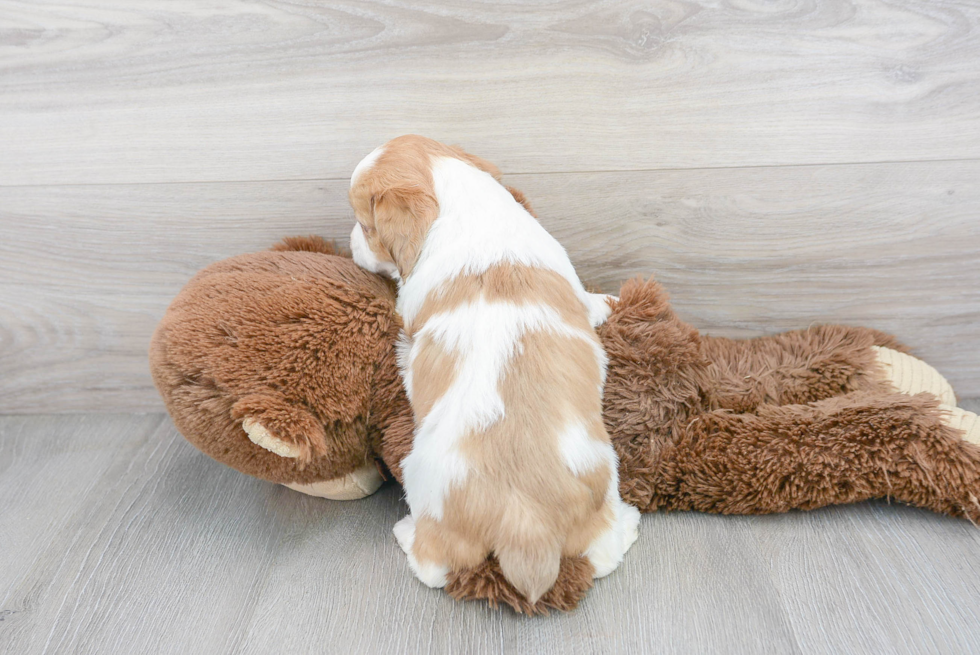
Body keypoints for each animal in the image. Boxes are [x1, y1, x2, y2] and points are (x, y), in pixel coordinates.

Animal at [348, 136, 640, 604]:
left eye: (366, 226)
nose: (350, 242)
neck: (465, 206)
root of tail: (526, 524)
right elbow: (591, 302)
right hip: (602, 476)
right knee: (599, 555)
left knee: (437, 566)